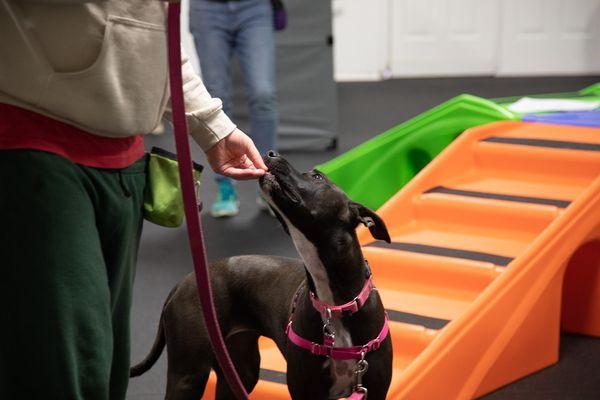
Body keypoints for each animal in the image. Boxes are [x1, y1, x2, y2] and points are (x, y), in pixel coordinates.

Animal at [131, 152, 394, 398]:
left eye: (318, 177)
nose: (270, 153)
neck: (336, 304)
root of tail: (183, 282)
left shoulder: (374, 390)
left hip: (239, 369)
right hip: (188, 374)